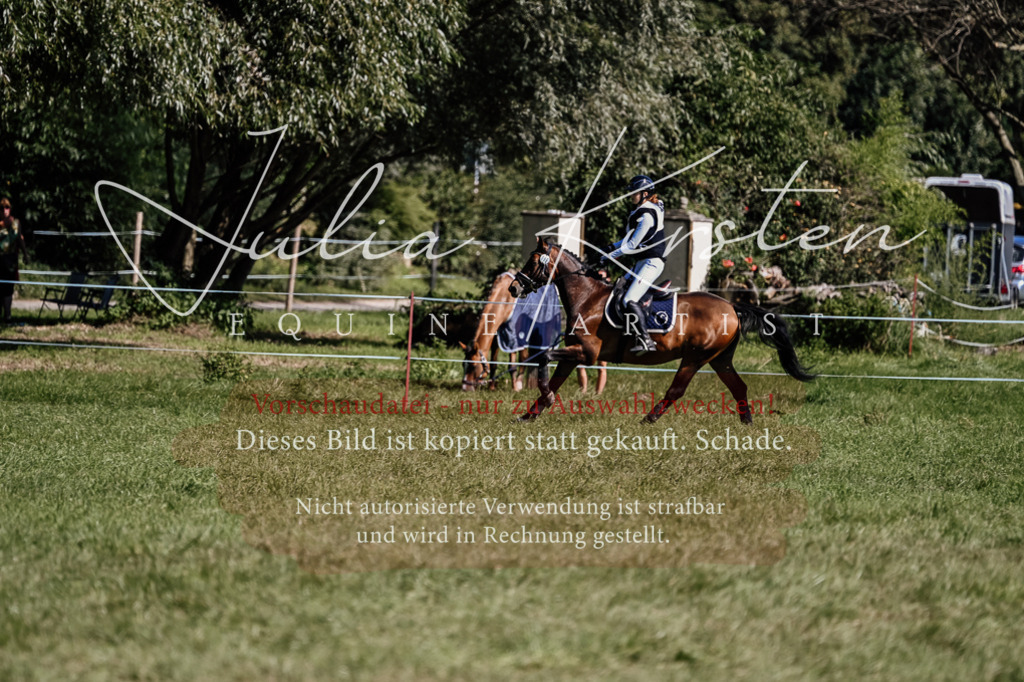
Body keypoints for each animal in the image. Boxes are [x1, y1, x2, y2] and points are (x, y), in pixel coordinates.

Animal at [460, 269, 607, 393]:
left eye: (473, 366)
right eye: (463, 365)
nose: (465, 388)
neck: (504, 299)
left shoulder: (514, 336)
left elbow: (513, 364)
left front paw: (516, 387)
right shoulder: (498, 336)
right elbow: (494, 363)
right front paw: (491, 387)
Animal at [507, 238, 814, 423]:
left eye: (532, 261)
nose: (513, 287)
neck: (587, 297)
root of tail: (730, 306)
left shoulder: (586, 353)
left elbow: (544, 358)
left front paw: (542, 402)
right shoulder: (574, 354)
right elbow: (553, 377)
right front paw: (530, 413)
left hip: (696, 357)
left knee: (676, 390)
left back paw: (648, 419)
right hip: (720, 359)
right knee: (738, 386)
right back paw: (747, 423)